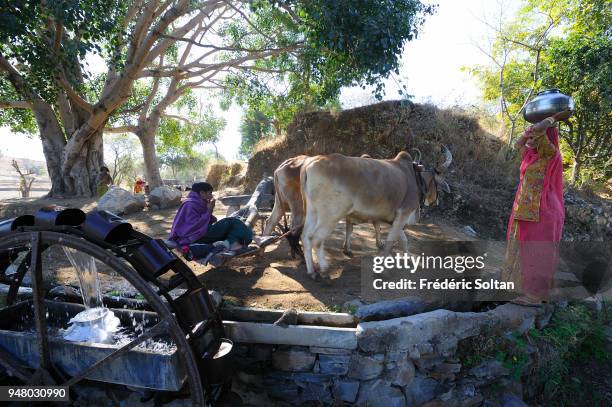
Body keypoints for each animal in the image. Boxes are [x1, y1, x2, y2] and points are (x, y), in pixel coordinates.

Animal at [298, 147, 452, 280]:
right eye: (438, 183)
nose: (436, 200)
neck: (415, 178)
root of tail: (310, 164)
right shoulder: (403, 214)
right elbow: (391, 243)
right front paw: (383, 270)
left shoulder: (397, 219)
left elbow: (404, 240)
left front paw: (408, 257)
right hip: (331, 216)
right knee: (316, 240)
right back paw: (324, 271)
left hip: (313, 212)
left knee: (305, 237)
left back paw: (312, 272)